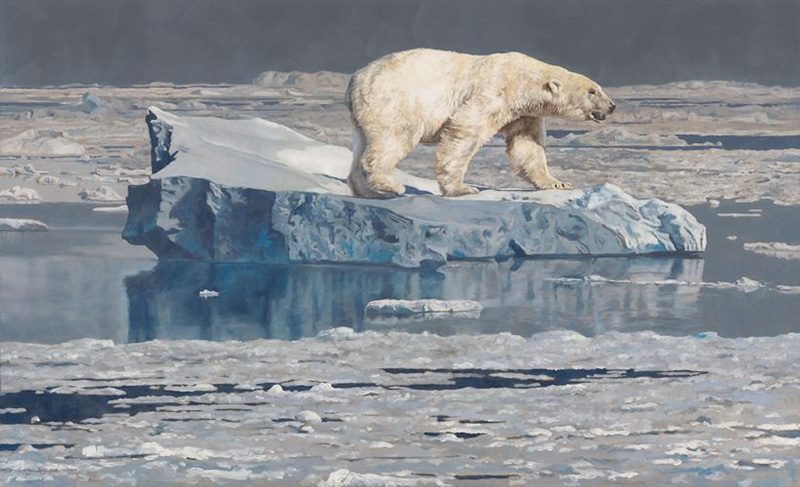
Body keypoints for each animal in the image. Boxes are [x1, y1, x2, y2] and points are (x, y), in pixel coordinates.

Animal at [345, 48, 615, 198]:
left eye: (599, 88)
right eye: (592, 92)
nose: (612, 106)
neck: (523, 79)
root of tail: (356, 79)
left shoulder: (524, 114)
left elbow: (527, 146)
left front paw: (558, 182)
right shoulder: (494, 91)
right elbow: (465, 129)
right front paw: (462, 189)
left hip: (362, 114)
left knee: (361, 146)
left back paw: (367, 191)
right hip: (394, 100)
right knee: (396, 137)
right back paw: (391, 185)